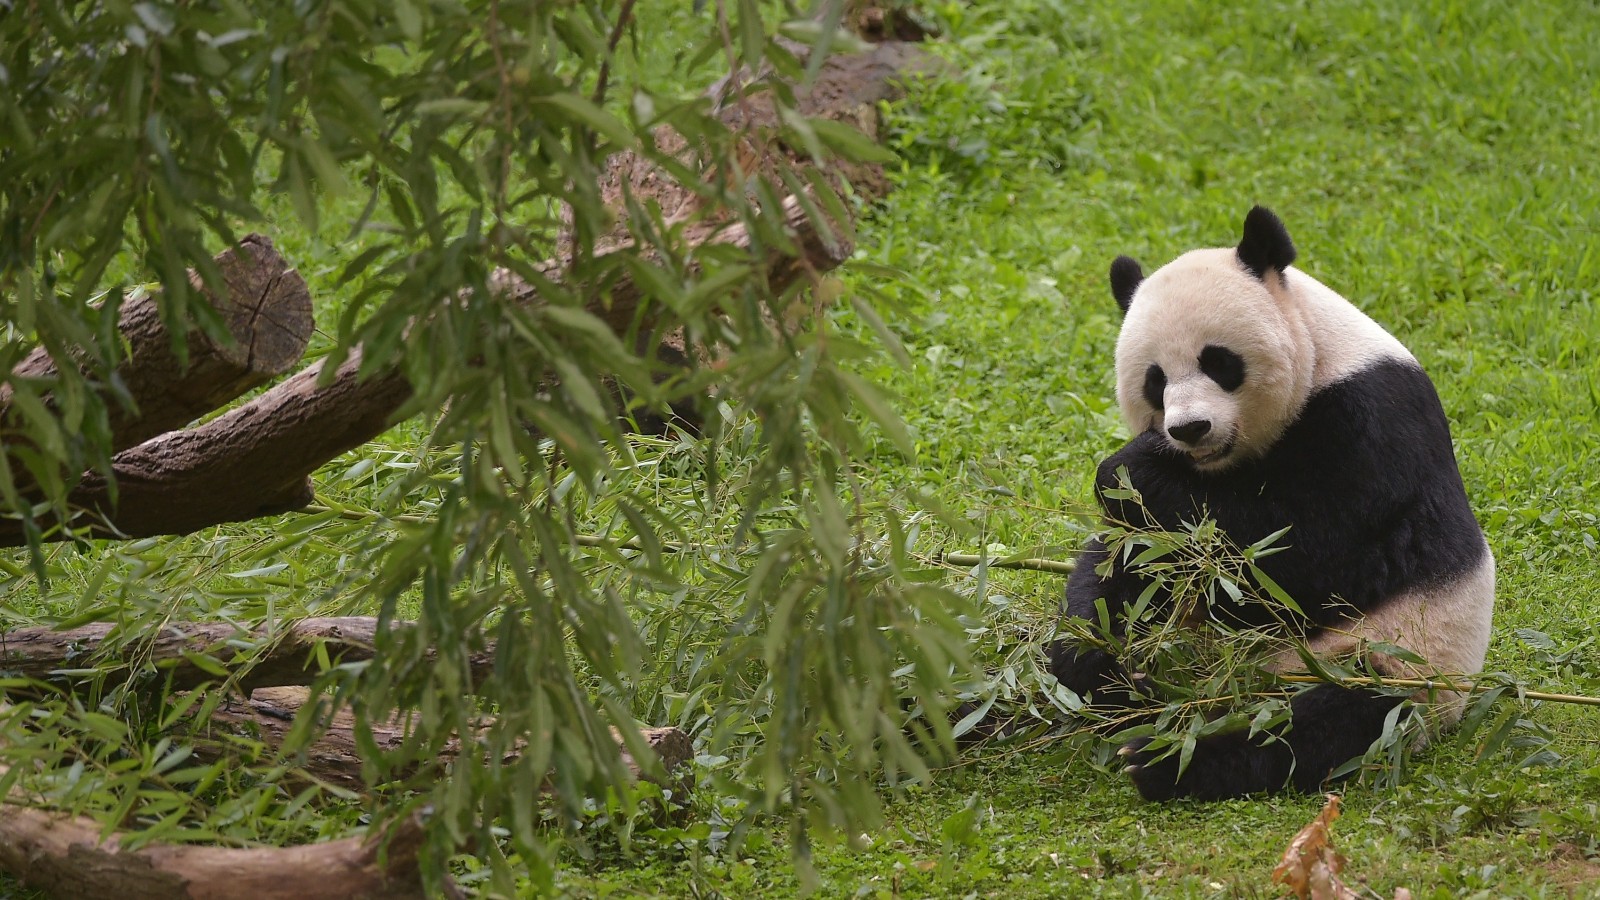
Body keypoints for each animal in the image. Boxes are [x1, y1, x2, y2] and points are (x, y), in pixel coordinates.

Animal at [1056, 204, 1491, 797]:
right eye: (1154, 380)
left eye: (1219, 362)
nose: (1189, 429)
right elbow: (1130, 562)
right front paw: (1099, 662)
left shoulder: (1372, 425)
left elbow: (1305, 563)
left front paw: (1133, 468)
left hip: (1400, 660)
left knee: (1319, 725)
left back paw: (1167, 757)